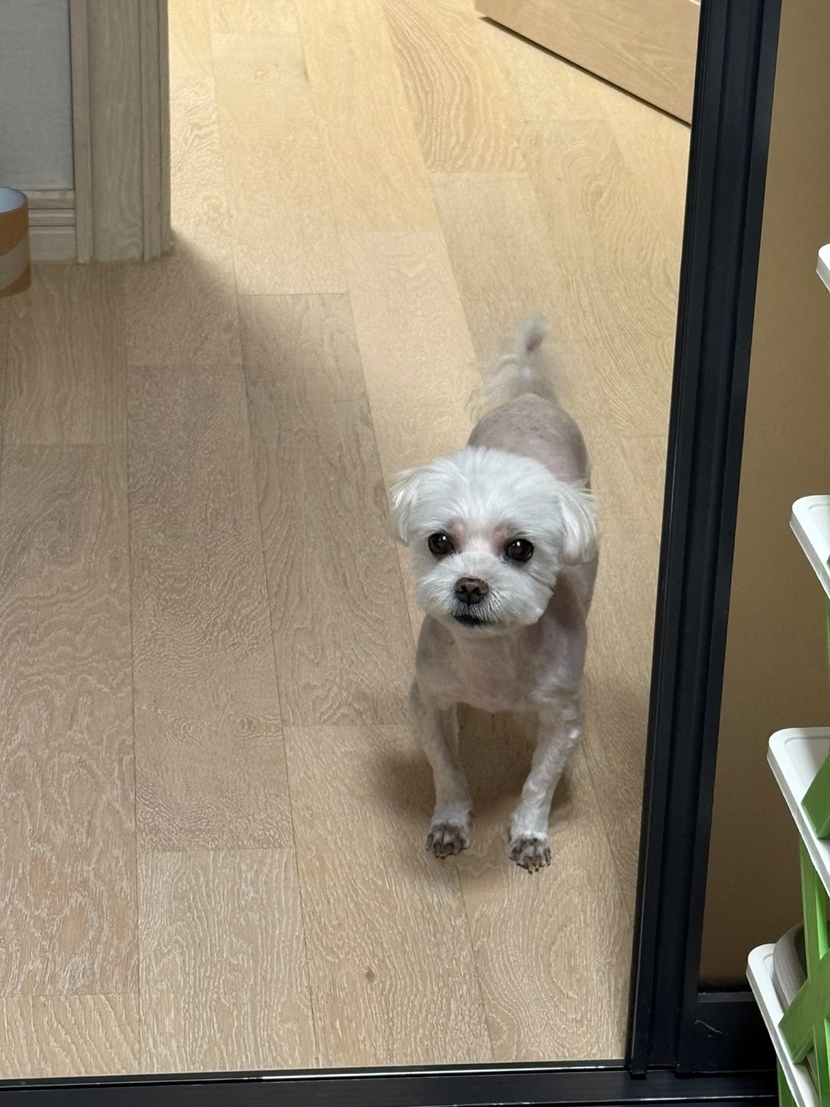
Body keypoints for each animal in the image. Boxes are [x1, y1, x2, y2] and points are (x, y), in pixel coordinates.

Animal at [390, 318, 598, 872]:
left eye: (521, 548)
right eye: (440, 542)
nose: (470, 585)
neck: (492, 660)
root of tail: (529, 397)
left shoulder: (563, 717)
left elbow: (540, 781)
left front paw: (529, 833)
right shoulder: (429, 700)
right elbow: (446, 768)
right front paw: (449, 820)